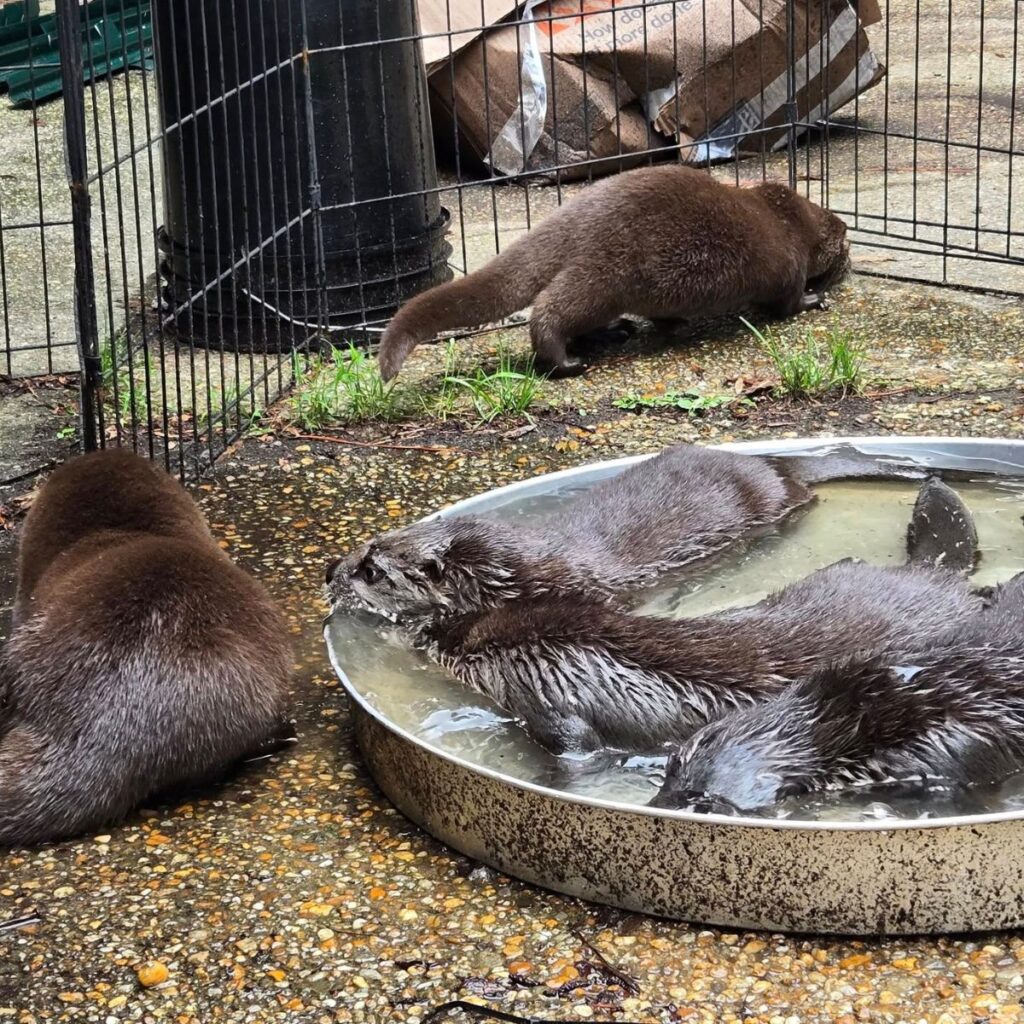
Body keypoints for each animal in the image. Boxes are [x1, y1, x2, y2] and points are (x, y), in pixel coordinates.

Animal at [327, 443, 927, 637]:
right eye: (364, 543)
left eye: (373, 569)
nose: (330, 572)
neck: (522, 570)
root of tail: (771, 464)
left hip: (772, 502)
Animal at [376, 165, 851, 380]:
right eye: (845, 245)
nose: (847, 257)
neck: (791, 220)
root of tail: (573, 219)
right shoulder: (789, 267)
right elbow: (785, 304)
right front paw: (814, 299)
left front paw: (674, 325)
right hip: (606, 276)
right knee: (549, 313)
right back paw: (566, 362)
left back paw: (615, 331)